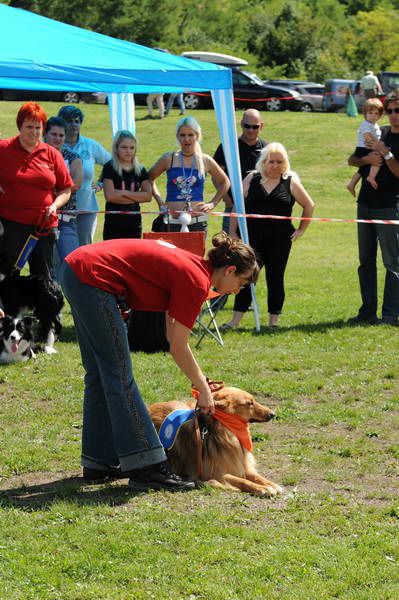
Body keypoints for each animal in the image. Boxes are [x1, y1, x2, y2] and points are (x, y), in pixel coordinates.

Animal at [148, 386, 282, 494]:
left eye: (253, 400)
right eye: (250, 403)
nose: (273, 414)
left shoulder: (240, 465)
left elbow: (256, 476)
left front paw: (271, 484)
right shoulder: (216, 474)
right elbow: (242, 481)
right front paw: (262, 488)